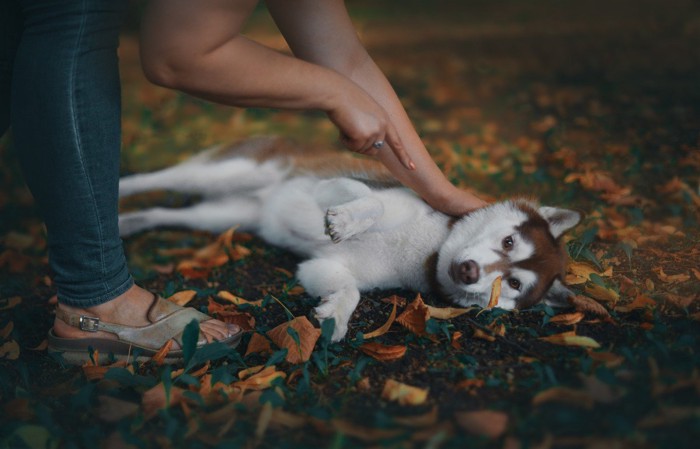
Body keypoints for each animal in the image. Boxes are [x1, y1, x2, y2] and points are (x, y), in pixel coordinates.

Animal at [120, 136, 580, 340]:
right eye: (508, 242)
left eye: (514, 283)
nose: (468, 271)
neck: (429, 250)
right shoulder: (342, 188)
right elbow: (370, 205)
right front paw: (347, 222)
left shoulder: (323, 266)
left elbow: (348, 289)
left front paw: (335, 316)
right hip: (229, 172)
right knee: (152, 179)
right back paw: (118, 189)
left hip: (224, 216)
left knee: (164, 213)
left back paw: (129, 223)